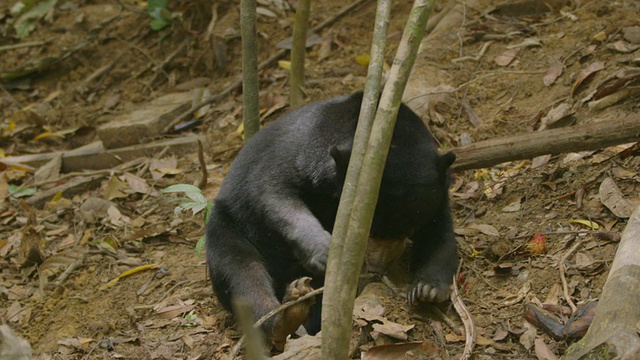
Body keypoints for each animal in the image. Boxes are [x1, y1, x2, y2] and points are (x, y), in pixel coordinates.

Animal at [204, 91, 456, 350]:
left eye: (410, 228)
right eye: (368, 228)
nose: (377, 267)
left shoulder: (440, 192)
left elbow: (440, 235)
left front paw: (427, 289)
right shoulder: (289, 162)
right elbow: (274, 195)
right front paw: (326, 251)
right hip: (228, 226)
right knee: (241, 272)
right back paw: (285, 316)